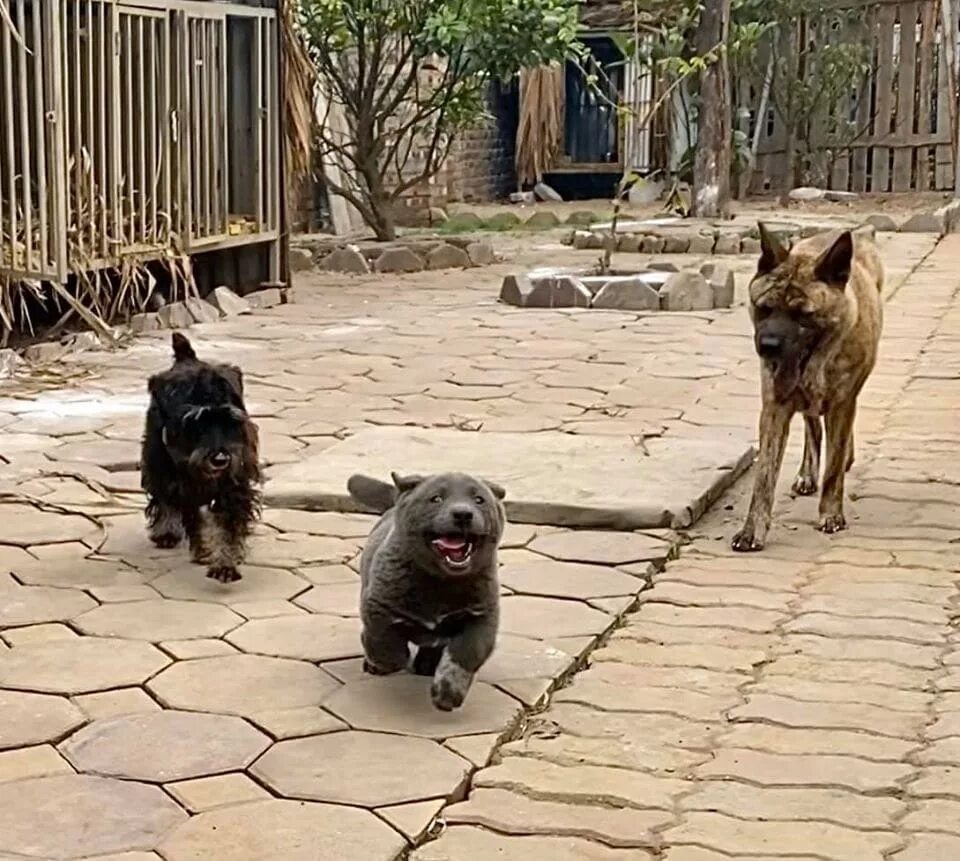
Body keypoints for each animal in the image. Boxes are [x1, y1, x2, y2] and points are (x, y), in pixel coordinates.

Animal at [141, 332, 260, 580]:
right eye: (197, 422)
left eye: (230, 418)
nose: (220, 460)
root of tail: (186, 358)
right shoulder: (182, 483)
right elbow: (192, 517)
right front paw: (204, 550)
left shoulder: (234, 484)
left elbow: (229, 527)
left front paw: (225, 564)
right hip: (157, 461)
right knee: (163, 499)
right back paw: (166, 530)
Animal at [346, 470, 510, 712]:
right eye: (436, 498)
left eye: (479, 500)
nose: (463, 514)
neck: (440, 582)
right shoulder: (379, 604)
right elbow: (385, 645)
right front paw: (382, 661)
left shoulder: (481, 615)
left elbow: (465, 654)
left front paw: (448, 693)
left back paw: (428, 664)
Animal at [736, 222, 884, 556]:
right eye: (764, 309)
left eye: (803, 315)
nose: (767, 347)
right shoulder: (775, 408)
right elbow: (764, 478)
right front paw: (752, 531)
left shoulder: (843, 404)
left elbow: (833, 467)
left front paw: (831, 514)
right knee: (812, 427)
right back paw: (806, 473)